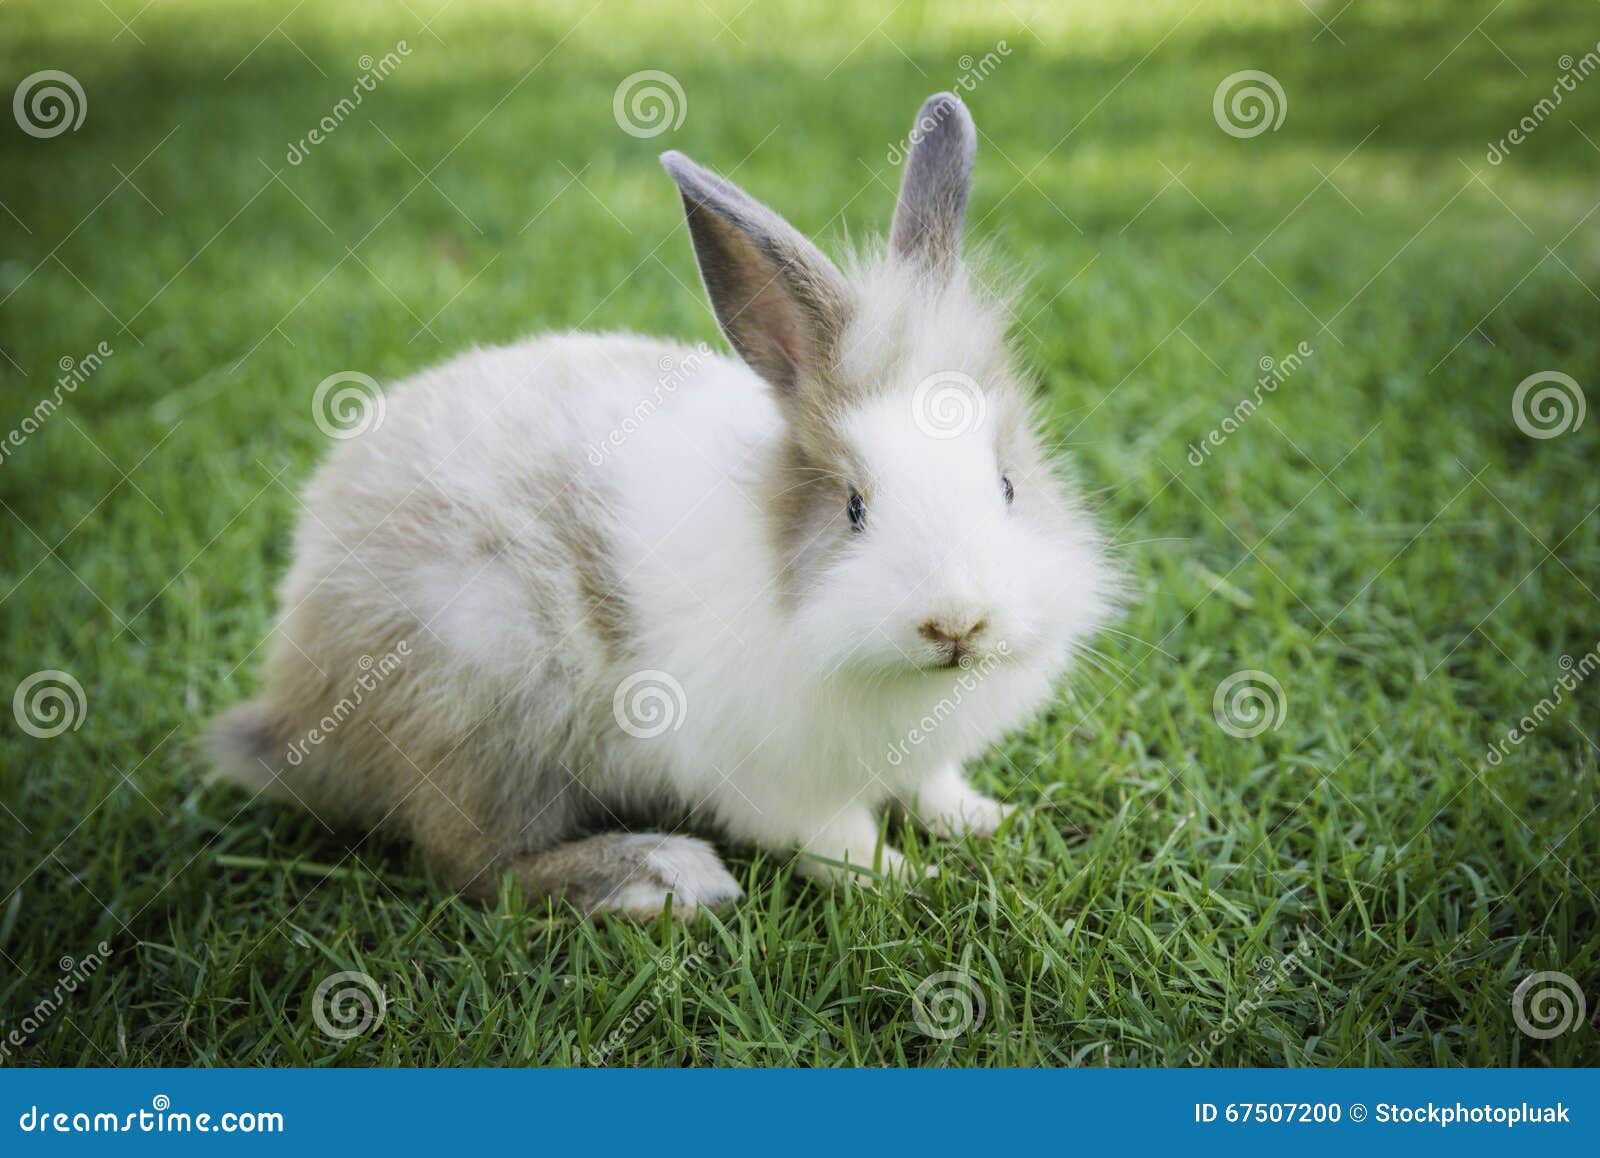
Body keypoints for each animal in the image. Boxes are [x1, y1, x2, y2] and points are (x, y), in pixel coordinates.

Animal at [209, 91, 1117, 920]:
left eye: (1008, 485)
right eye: (854, 507)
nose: (957, 624)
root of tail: (295, 709)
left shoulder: (919, 757)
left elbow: (932, 788)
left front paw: (989, 821)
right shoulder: (777, 778)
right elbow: (838, 840)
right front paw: (909, 883)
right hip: (485, 705)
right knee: (476, 866)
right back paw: (663, 877)